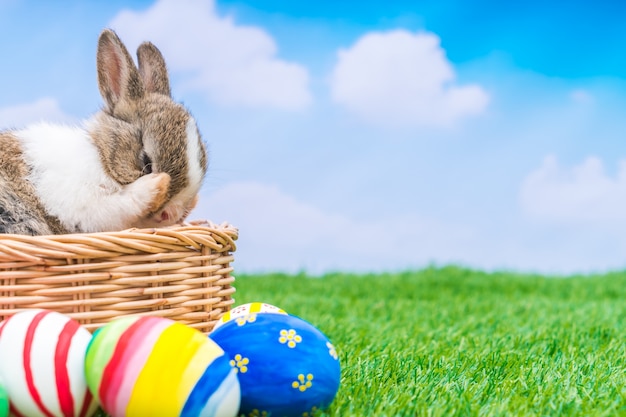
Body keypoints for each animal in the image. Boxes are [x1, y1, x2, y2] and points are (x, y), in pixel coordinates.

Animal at [0, 29, 210, 236]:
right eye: (146, 162)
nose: (169, 213)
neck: (101, 158)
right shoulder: (78, 200)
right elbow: (117, 205)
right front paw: (156, 183)